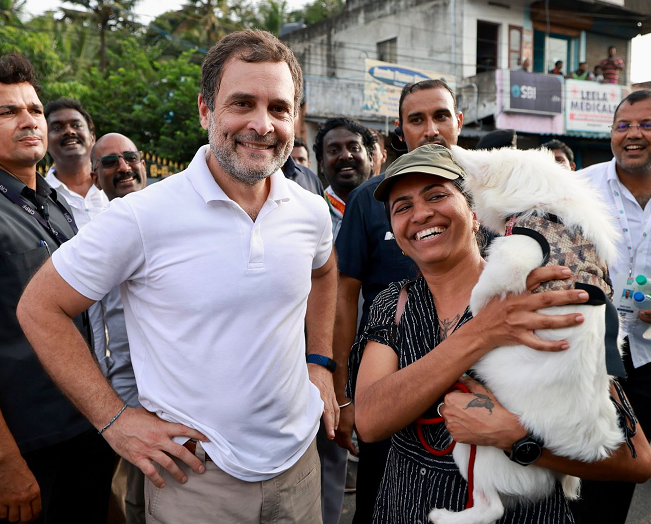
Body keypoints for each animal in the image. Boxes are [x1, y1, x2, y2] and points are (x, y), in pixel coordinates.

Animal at [430, 145, 624, 524]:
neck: (548, 202)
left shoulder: (517, 252)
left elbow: (485, 287)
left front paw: (478, 308)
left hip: (471, 446)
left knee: (491, 508)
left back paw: (446, 516)